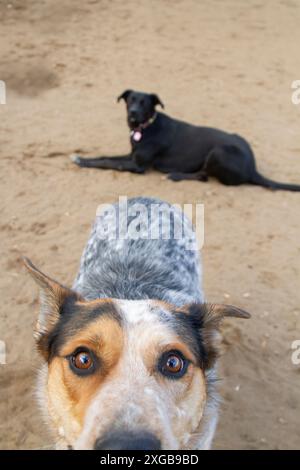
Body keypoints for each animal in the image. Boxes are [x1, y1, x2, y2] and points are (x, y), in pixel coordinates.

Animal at [71, 89, 300, 192]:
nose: (132, 114)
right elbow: (106, 156)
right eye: (131, 100)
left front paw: (83, 162)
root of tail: (253, 168)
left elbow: (108, 163)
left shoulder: (137, 165)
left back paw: (174, 175)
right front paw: (81, 157)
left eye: (145, 103)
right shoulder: (131, 155)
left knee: (203, 176)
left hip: (219, 151)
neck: (146, 128)